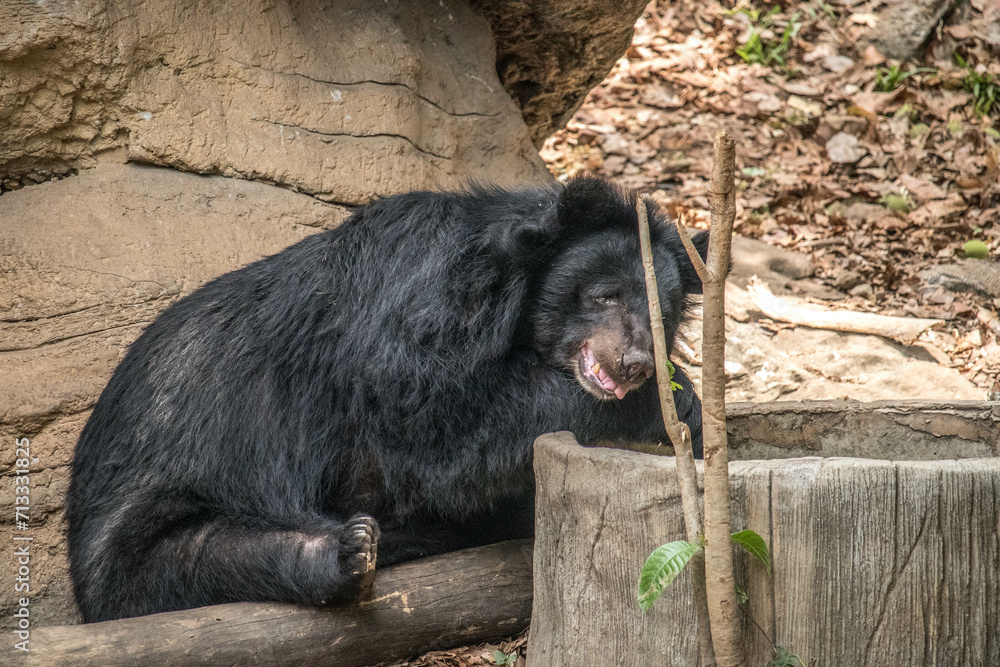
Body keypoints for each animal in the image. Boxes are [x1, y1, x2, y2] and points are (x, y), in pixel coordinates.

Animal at [66, 176, 708, 622]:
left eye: (663, 309)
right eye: (605, 294)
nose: (633, 363)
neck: (508, 295)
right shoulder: (413, 303)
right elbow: (435, 421)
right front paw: (670, 406)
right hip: (141, 521)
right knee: (197, 557)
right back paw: (343, 555)